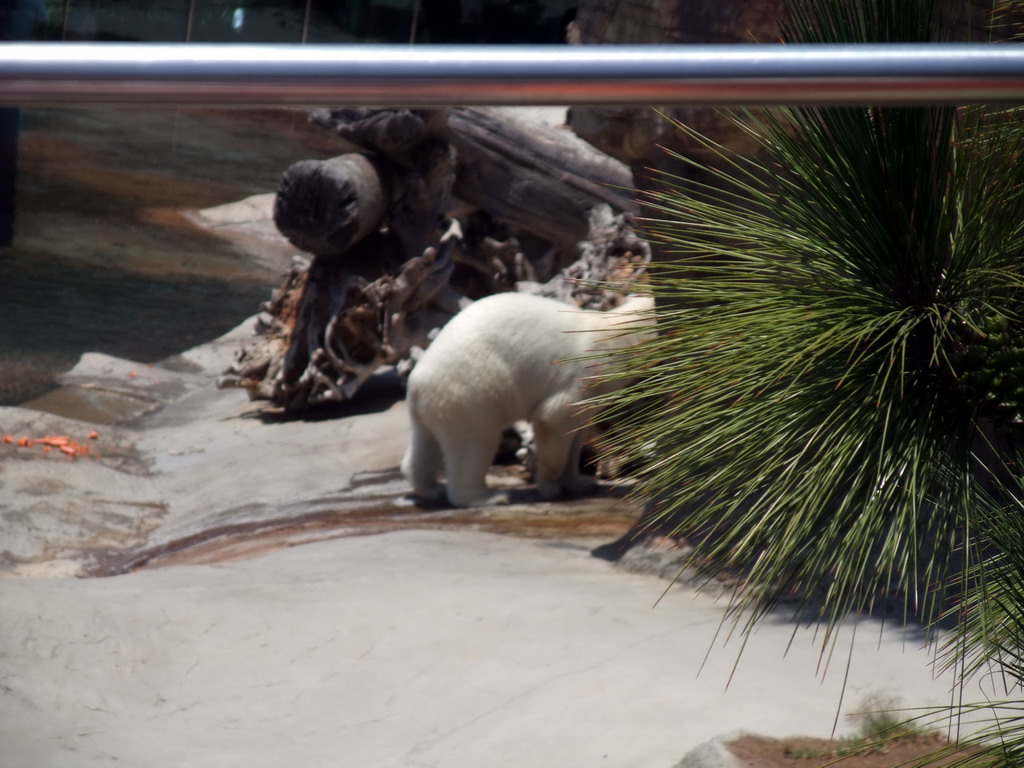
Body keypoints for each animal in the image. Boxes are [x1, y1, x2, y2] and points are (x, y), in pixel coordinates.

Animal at [401, 290, 655, 507]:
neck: (615, 336)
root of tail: (416, 383)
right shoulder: (584, 373)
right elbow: (554, 419)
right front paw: (550, 486)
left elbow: (576, 433)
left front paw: (580, 482)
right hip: (470, 393)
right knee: (473, 444)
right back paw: (488, 497)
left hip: (435, 406)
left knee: (426, 443)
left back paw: (429, 488)